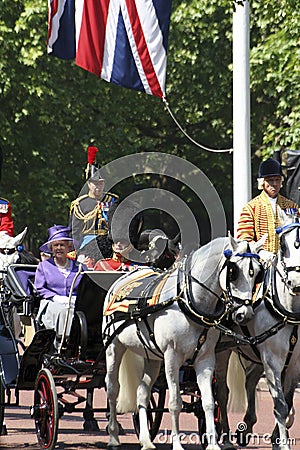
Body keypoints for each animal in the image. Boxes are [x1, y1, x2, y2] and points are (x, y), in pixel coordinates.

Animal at [101, 234, 264, 448]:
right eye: (233, 272)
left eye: (258, 273)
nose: (245, 314)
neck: (190, 302)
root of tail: (123, 278)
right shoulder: (172, 357)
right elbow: (175, 403)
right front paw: (177, 444)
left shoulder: (205, 358)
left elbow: (208, 402)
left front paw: (213, 444)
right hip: (114, 348)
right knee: (112, 389)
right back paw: (113, 436)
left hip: (152, 357)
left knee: (142, 393)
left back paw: (146, 440)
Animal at [216, 215, 300, 450]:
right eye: (283, 245)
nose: (296, 283)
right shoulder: (272, 359)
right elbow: (280, 404)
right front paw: (282, 443)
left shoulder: (295, 363)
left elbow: (287, 399)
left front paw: (276, 437)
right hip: (222, 351)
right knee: (222, 390)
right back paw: (225, 436)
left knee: (250, 379)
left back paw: (246, 426)